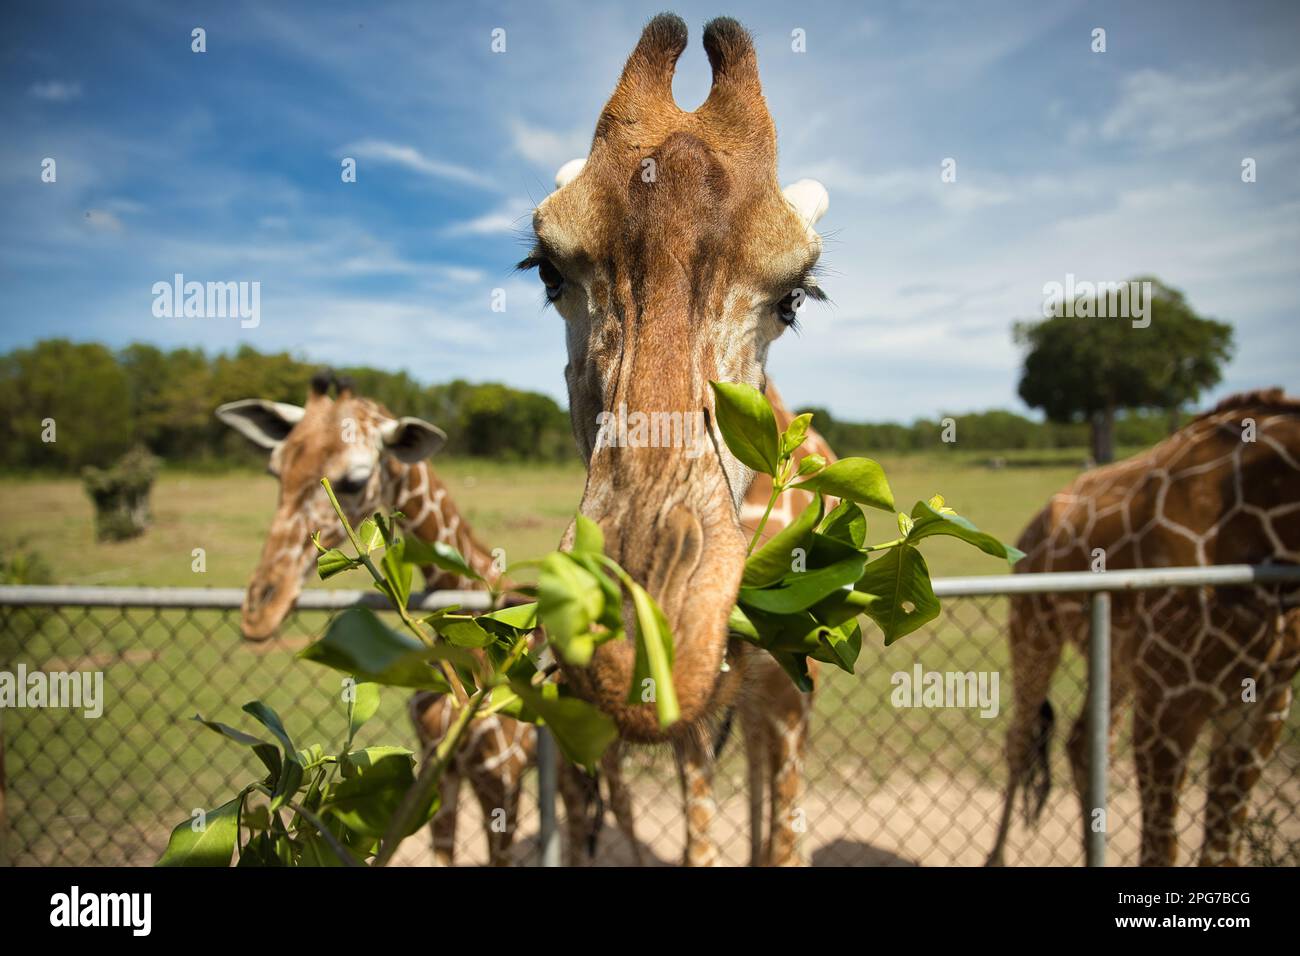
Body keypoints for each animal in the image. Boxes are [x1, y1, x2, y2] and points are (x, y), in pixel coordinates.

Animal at [213, 371, 639, 868]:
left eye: (355, 480)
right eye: (275, 471)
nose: (260, 610)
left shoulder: (500, 774)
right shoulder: (441, 762)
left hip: (605, 749)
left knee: (621, 813)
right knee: (575, 819)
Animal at [525, 13, 837, 868]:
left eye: (796, 297)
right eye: (546, 272)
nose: (635, 644)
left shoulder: (790, 695)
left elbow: (786, 842)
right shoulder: (697, 724)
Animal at [982, 390, 1300, 868]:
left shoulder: (1267, 701)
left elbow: (1221, 850)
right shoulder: (1170, 699)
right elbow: (1160, 849)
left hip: (1117, 658)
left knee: (1084, 743)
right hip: (1034, 627)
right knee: (1020, 740)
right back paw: (995, 857)